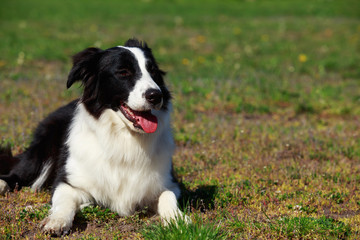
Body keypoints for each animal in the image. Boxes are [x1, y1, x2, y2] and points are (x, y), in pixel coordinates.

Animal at [0, 38, 184, 235]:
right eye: (123, 72)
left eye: (153, 71)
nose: (156, 95)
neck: (124, 139)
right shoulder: (68, 181)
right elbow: (64, 202)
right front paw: (56, 221)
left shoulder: (168, 183)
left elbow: (168, 196)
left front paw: (178, 220)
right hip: (42, 153)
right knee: (16, 172)